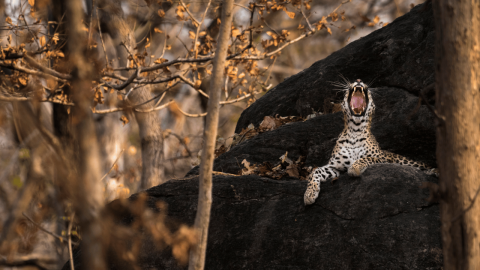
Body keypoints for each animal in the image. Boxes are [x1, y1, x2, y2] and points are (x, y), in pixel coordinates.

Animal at [304, 78, 438, 205]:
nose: (358, 80)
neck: (355, 131)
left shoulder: (382, 159)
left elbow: (366, 158)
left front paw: (354, 168)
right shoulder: (335, 167)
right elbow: (315, 172)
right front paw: (309, 194)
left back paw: (433, 171)